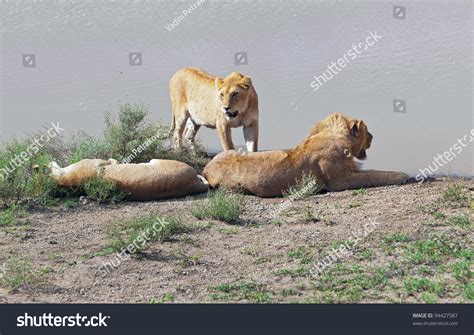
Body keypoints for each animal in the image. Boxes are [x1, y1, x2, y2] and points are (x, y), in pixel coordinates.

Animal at [203, 113, 408, 197]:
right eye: (368, 131)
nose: (373, 137)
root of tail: (206, 167)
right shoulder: (340, 181)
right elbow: (374, 176)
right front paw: (402, 175)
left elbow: (373, 171)